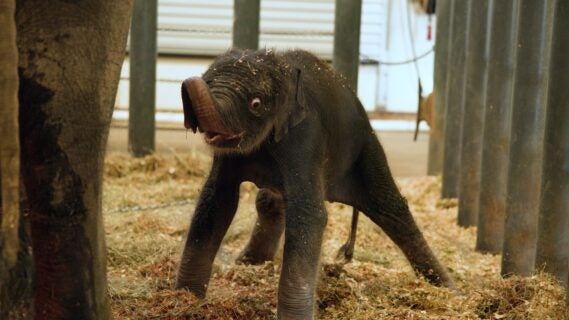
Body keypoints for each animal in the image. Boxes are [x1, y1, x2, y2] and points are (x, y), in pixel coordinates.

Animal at [175, 48, 450, 320]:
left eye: (256, 104)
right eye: (208, 82)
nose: (190, 82)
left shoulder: (306, 136)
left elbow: (309, 215)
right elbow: (216, 202)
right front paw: (185, 300)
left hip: (365, 147)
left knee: (391, 209)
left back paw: (447, 288)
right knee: (268, 201)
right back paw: (249, 262)